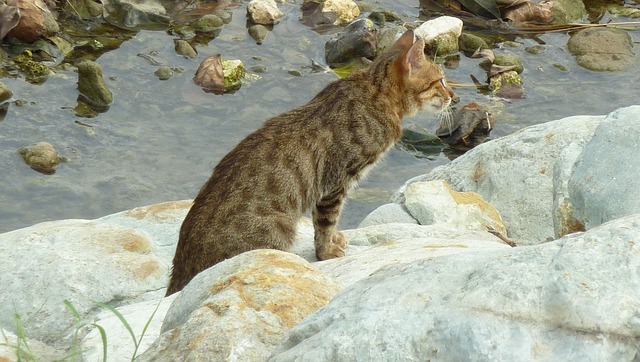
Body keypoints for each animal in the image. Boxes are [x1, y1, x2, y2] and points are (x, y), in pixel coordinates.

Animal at [166, 28, 456, 294]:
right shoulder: (336, 182)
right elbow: (326, 222)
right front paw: (326, 251)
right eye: (441, 81)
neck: (375, 91)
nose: (454, 96)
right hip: (277, 231)